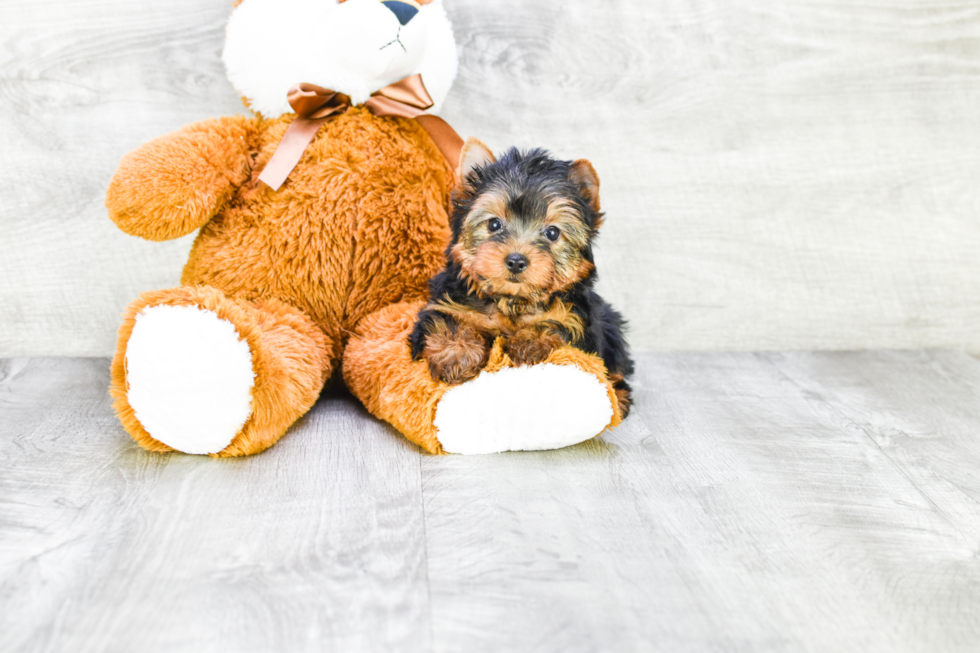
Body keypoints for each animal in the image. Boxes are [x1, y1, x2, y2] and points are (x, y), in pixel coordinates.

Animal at [408, 140, 632, 416]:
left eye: (552, 233)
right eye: (494, 225)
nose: (516, 260)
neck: (512, 301)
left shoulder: (579, 321)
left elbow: (557, 324)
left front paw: (529, 343)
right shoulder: (447, 301)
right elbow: (447, 321)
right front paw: (456, 355)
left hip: (610, 324)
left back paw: (619, 397)